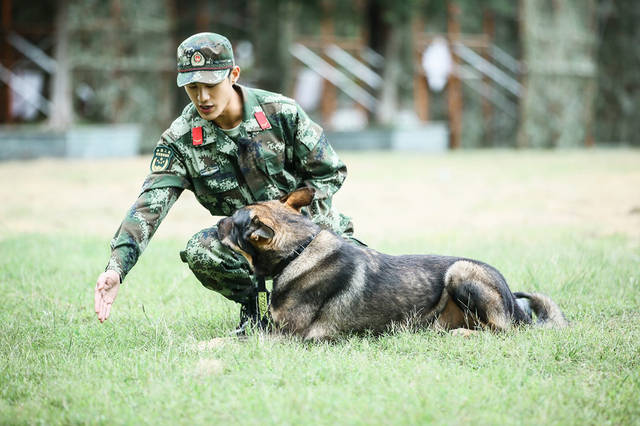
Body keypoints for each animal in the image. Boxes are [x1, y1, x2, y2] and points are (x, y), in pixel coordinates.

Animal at [218, 188, 568, 342]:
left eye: (234, 222)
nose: (218, 222)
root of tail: (519, 311)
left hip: (461, 272)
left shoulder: (286, 337)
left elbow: (230, 341)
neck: (299, 251)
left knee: (500, 330)